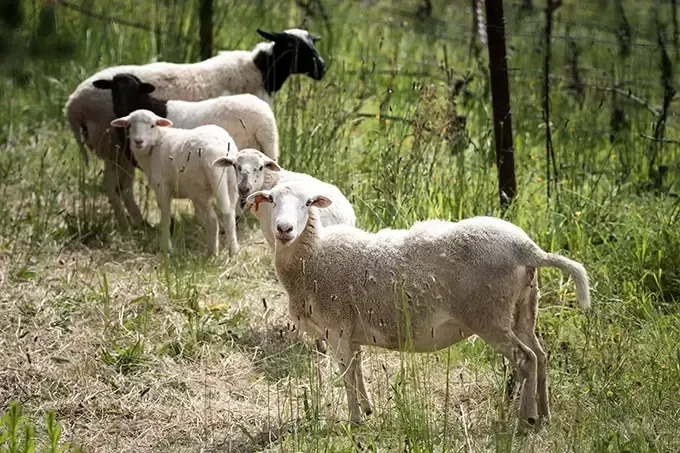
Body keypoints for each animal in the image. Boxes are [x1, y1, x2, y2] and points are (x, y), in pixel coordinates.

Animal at [64, 28, 325, 231]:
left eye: (312, 42)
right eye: (292, 45)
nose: (322, 69)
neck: (259, 71)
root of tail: (72, 106)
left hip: (116, 151)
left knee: (118, 187)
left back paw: (136, 224)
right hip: (113, 147)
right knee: (117, 187)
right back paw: (133, 224)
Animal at [110, 109, 239, 257]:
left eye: (152, 125)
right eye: (130, 125)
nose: (138, 141)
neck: (156, 142)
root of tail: (216, 152)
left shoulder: (162, 187)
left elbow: (166, 217)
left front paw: (166, 248)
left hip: (200, 190)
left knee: (212, 219)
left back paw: (211, 253)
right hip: (230, 184)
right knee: (229, 213)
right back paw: (233, 251)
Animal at [246, 183, 591, 427]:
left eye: (307, 203)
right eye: (271, 200)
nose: (284, 229)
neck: (313, 257)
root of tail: (528, 249)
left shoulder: (336, 328)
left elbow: (346, 375)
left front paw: (354, 420)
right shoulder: (352, 332)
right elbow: (357, 369)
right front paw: (368, 410)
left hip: (489, 316)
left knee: (525, 359)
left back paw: (525, 419)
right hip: (523, 308)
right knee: (541, 356)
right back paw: (544, 415)